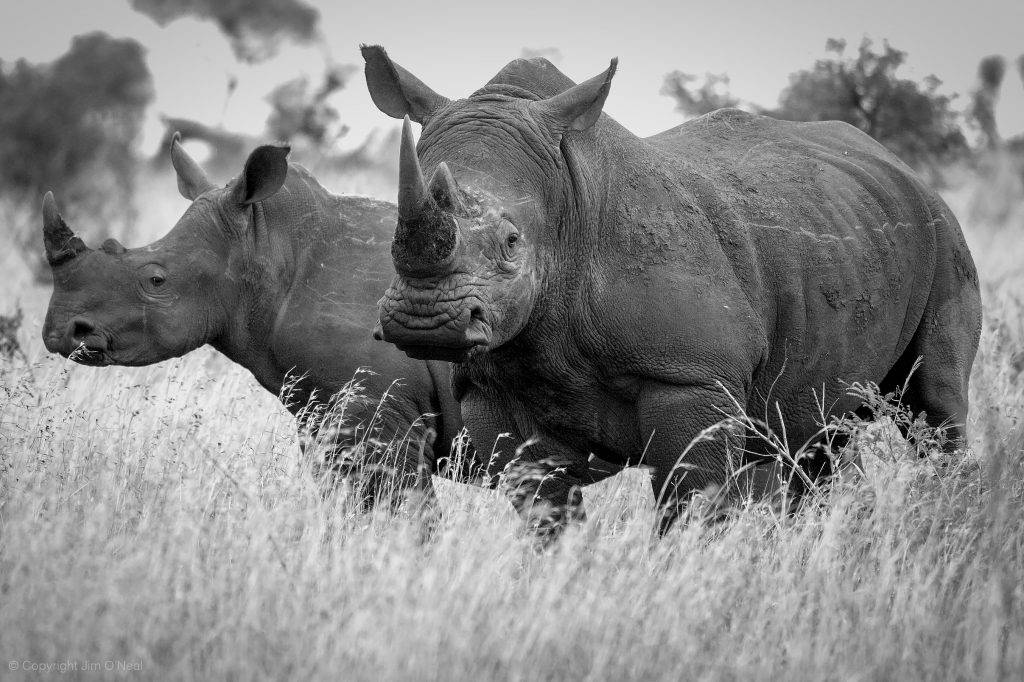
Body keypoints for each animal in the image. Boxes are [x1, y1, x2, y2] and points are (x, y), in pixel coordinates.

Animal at [40, 134, 468, 503]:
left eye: (156, 281)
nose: (62, 332)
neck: (267, 245)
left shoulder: (376, 408)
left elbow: (403, 509)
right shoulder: (323, 414)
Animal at [362, 47, 983, 532]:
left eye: (512, 243)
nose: (425, 321)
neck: (567, 203)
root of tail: (902, 167)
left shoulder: (690, 377)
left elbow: (688, 505)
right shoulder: (491, 387)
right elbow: (544, 511)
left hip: (943, 234)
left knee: (934, 406)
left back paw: (951, 521)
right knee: (818, 436)